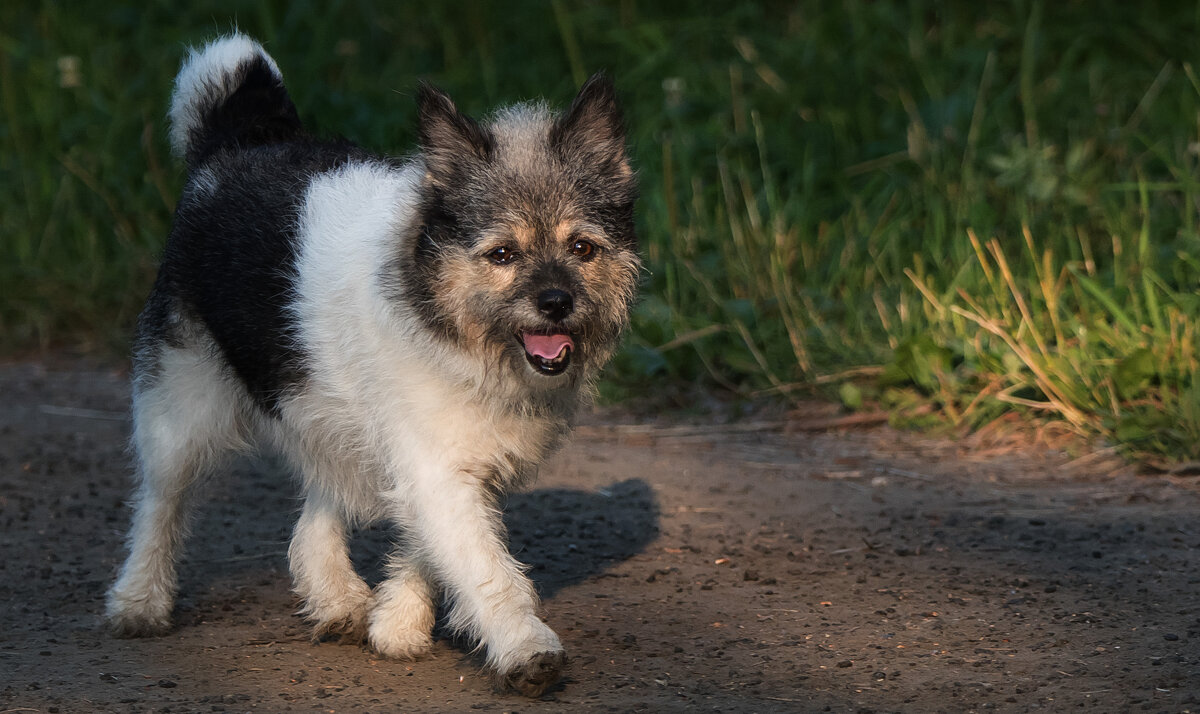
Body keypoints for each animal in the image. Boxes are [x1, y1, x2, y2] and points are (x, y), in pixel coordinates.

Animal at [108, 34, 643, 700]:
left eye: (582, 247)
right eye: (502, 254)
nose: (556, 303)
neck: (452, 326)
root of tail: (235, 141)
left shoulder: (439, 463)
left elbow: (428, 546)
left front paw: (397, 622)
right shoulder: (436, 468)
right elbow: (486, 568)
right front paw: (525, 648)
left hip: (325, 411)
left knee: (315, 511)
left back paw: (335, 597)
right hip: (182, 409)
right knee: (160, 502)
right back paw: (139, 600)